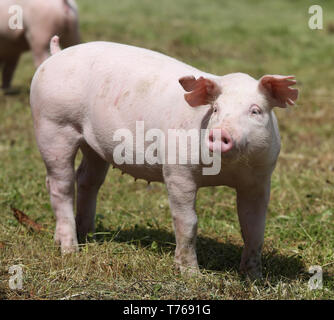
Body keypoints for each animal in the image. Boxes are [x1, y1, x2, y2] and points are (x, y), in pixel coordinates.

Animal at [30, 37, 298, 278]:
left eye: (255, 111)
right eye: (215, 110)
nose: (220, 133)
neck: (226, 170)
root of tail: (56, 54)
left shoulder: (259, 179)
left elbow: (254, 227)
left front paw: (254, 277)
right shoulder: (177, 171)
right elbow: (188, 222)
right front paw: (192, 275)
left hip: (93, 145)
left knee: (87, 180)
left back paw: (88, 237)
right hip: (53, 126)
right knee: (60, 185)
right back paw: (70, 250)